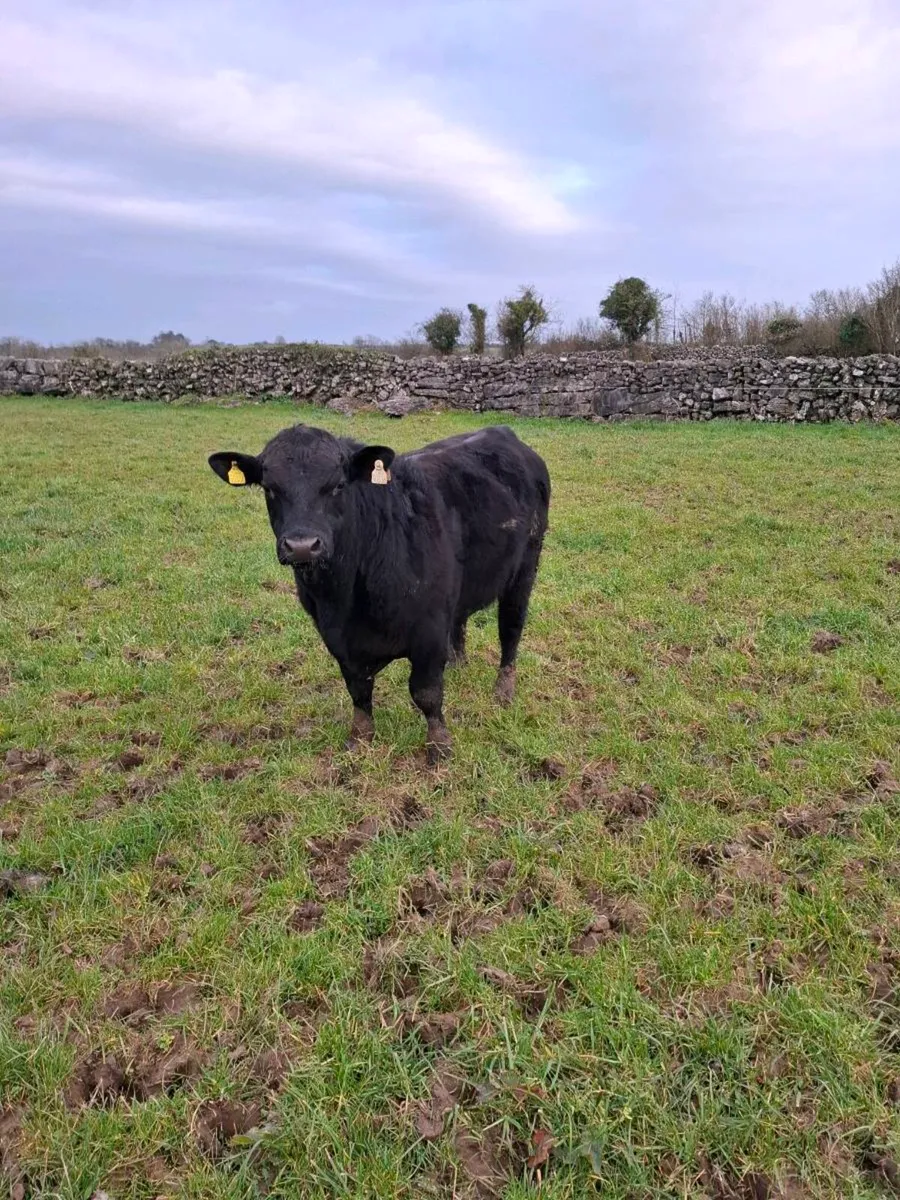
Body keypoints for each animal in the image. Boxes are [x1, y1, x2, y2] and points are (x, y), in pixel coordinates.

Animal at [208, 423, 550, 763]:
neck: (346, 598)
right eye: (269, 488)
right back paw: (457, 665)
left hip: (524, 570)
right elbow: (358, 690)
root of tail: (503, 432)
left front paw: (439, 745)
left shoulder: (428, 632)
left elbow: (426, 693)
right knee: (461, 621)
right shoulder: (337, 638)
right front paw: (360, 737)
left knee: (510, 630)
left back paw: (503, 690)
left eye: (338, 485)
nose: (302, 546)